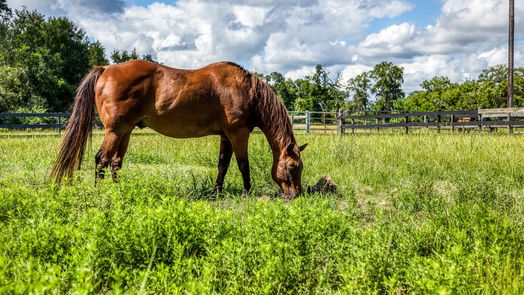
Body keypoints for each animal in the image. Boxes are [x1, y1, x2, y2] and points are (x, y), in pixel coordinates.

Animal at [50, 59, 304, 199]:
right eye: (293, 168)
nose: (296, 195)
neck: (247, 90)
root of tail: (106, 69)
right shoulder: (238, 134)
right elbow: (243, 166)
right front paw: (248, 193)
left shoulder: (226, 136)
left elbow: (222, 165)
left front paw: (216, 192)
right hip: (115, 130)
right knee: (101, 160)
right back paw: (100, 193)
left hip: (126, 131)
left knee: (115, 162)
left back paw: (118, 190)